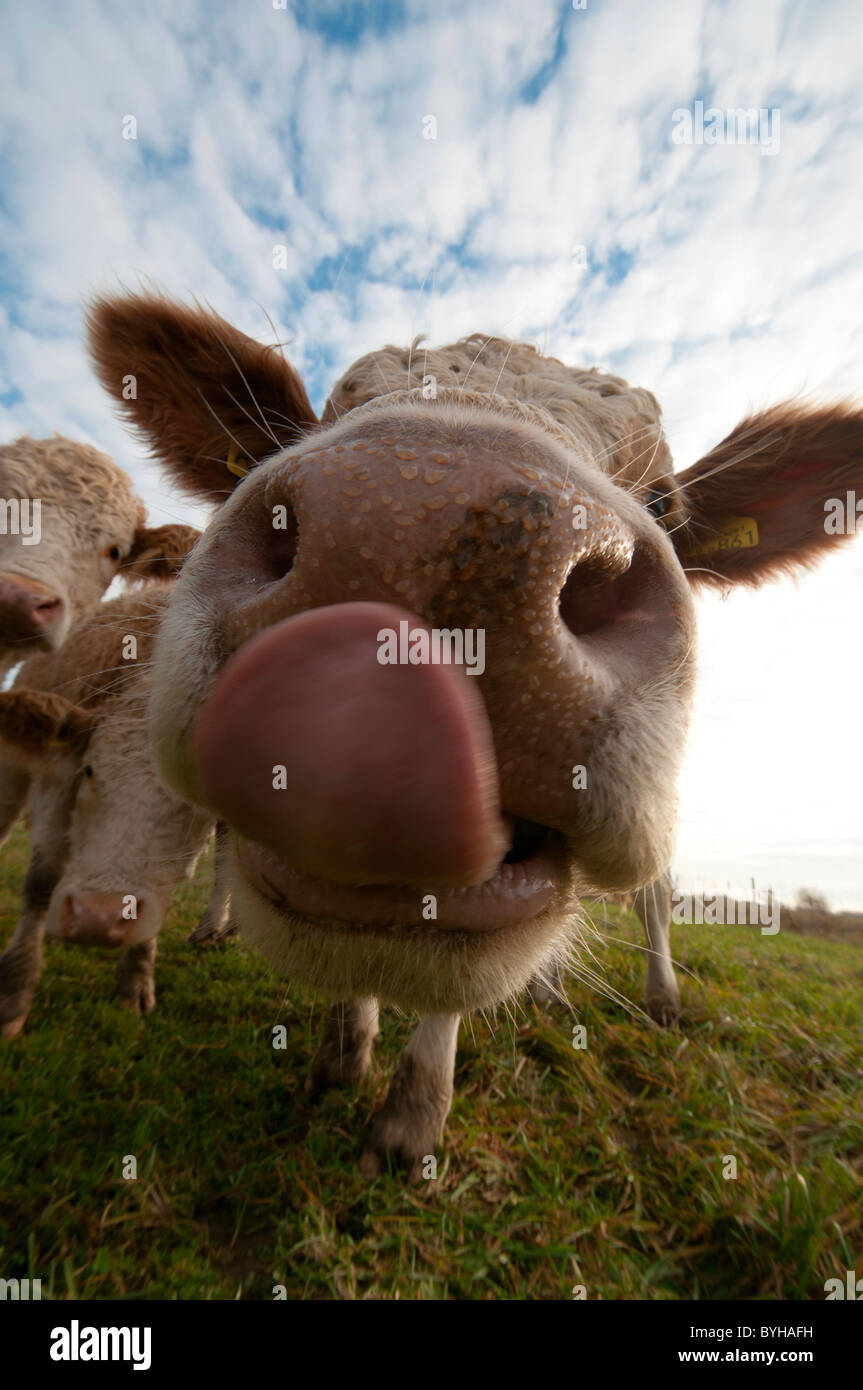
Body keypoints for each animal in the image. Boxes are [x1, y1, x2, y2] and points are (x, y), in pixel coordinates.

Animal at [0, 583, 226, 1034]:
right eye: (88, 769)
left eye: (189, 796)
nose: (97, 917)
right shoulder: (55, 780)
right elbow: (40, 882)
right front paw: (14, 995)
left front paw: (135, 979)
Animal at [84, 290, 856, 1173]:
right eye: (314, 420)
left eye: (666, 501)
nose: (402, 522)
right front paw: (341, 1054)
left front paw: (411, 1118)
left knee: (655, 892)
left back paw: (659, 998)